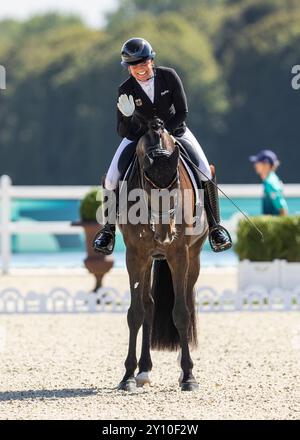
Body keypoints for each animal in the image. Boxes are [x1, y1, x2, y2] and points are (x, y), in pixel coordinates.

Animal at [117, 118, 209, 390]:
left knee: (186, 301)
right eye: (148, 187)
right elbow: (136, 313)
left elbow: (181, 313)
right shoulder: (135, 255)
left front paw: (188, 376)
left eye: (177, 185)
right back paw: (144, 371)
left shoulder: (179, 254)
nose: (165, 234)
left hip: (194, 257)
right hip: (150, 258)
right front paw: (128, 376)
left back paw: (180, 369)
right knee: (149, 306)